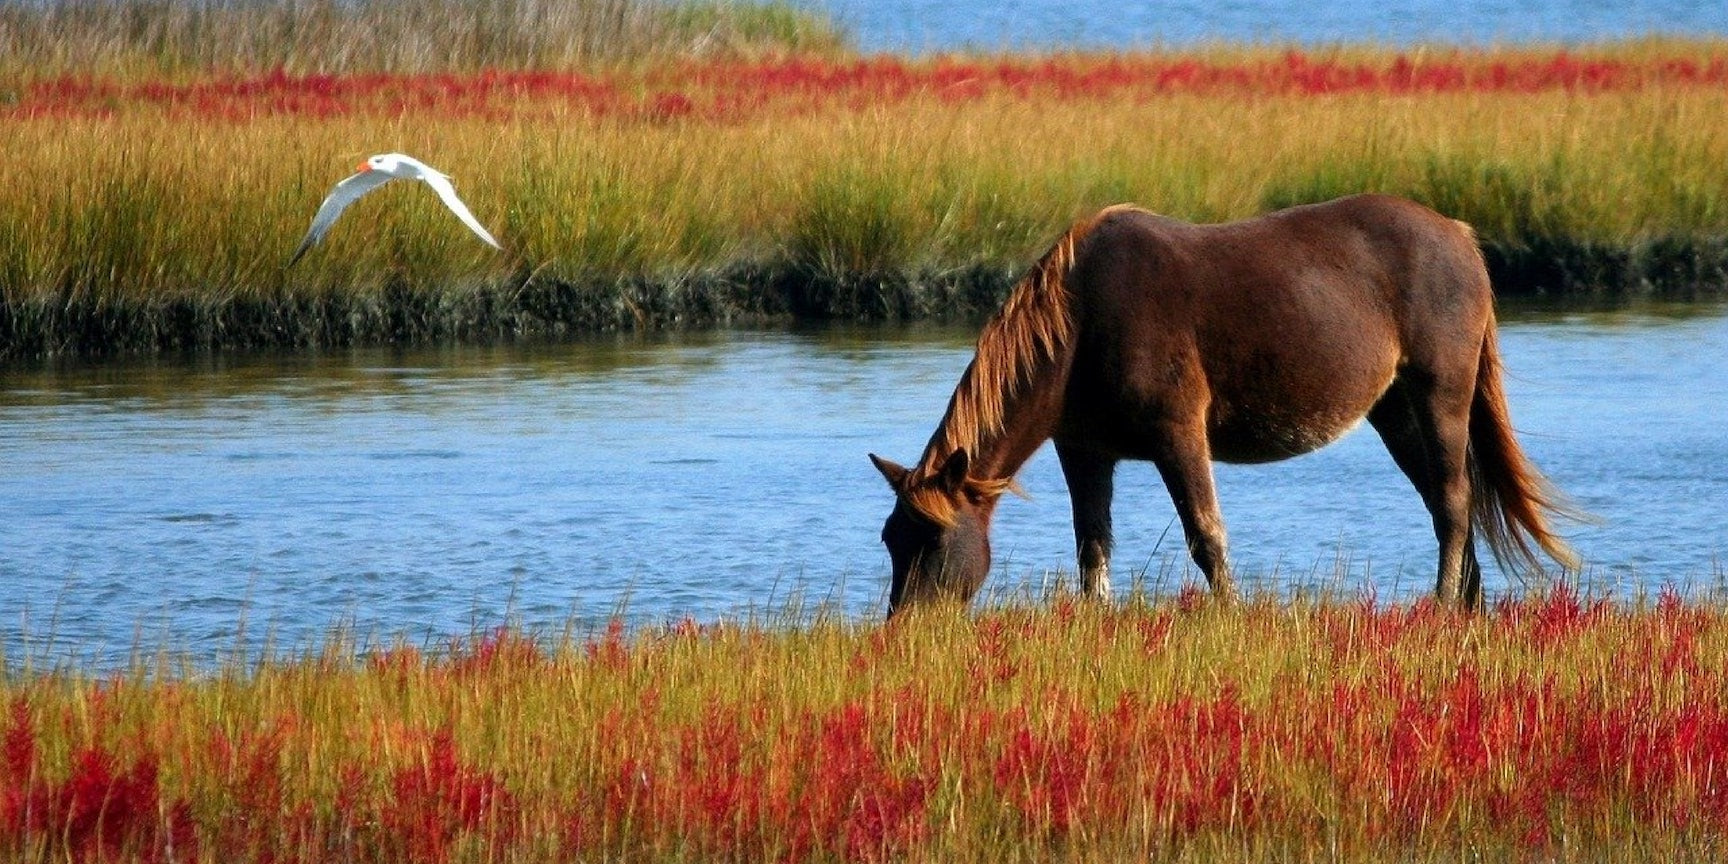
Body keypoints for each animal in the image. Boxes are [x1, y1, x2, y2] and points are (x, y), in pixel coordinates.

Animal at [869, 194, 1579, 617]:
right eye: (889, 539)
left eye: (932, 539)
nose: (905, 628)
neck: (1081, 322)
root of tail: (1460, 236)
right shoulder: (1084, 450)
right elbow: (1092, 547)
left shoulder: (1179, 434)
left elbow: (1206, 536)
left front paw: (1230, 617)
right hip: (1395, 412)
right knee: (1443, 501)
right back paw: (1467, 606)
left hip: (1441, 394)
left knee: (1455, 502)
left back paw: (1442, 605)